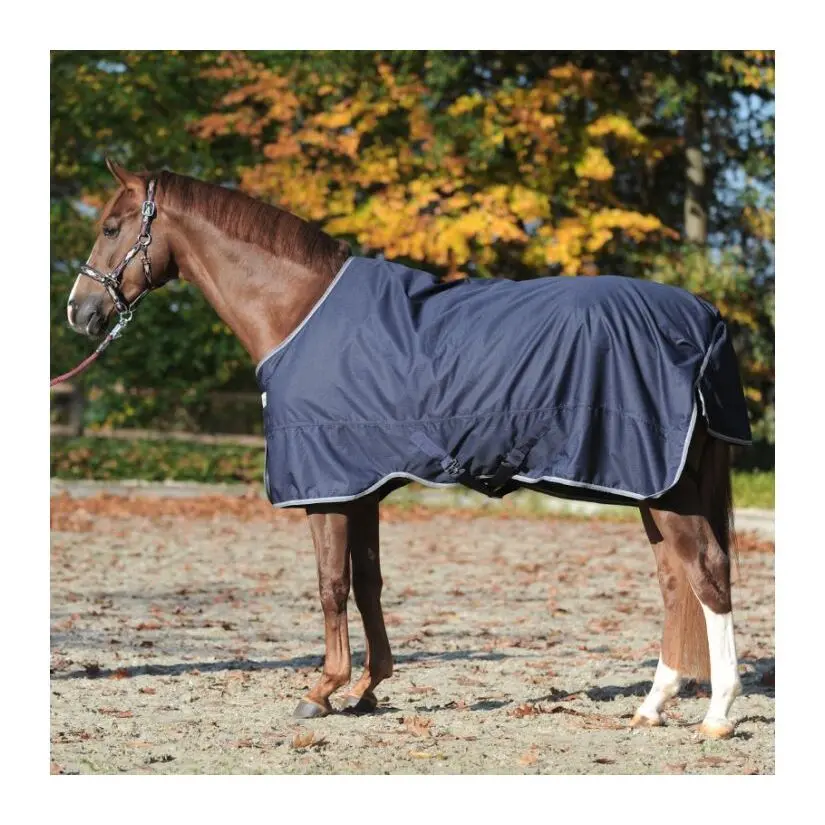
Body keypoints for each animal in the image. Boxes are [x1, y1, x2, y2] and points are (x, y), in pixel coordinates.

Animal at [63, 159, 748, 738]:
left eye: (111, 227)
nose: (79, 311)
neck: (300, 310)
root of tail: (706, 317)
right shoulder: (361, 486)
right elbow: (368, 583)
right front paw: (368, 687)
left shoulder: (328, 490)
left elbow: (331, 584)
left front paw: (323, 689)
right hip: (654, 487)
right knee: (674, 582)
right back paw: (653, 704)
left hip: (667, 490)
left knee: (707, 572)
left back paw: (717, 713)